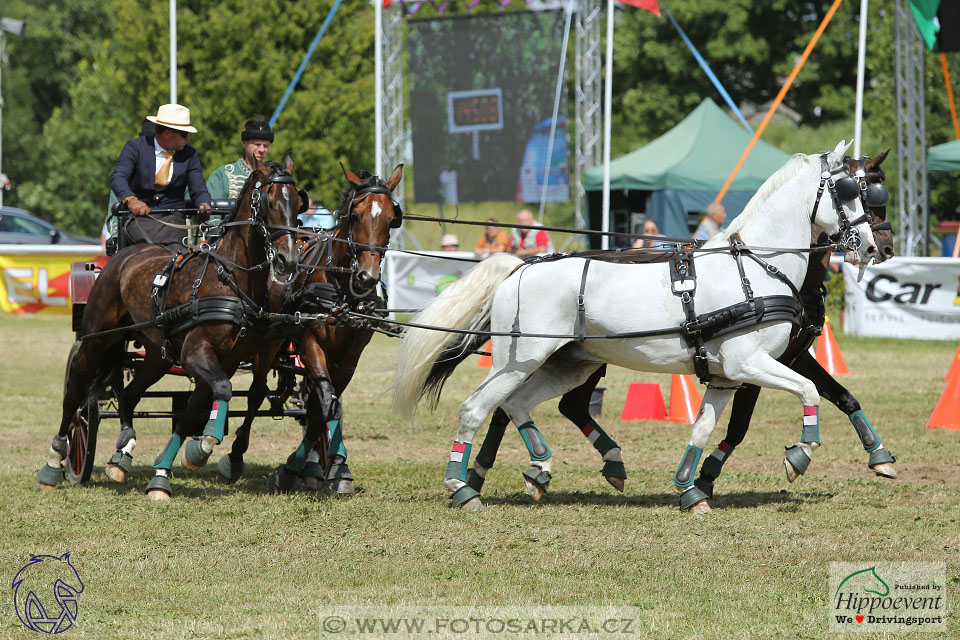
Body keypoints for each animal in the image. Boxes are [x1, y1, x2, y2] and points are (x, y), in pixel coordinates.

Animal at [39, 158, 302, 498]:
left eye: (298, 201)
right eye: (269, 202)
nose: (288, 259)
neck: (228, 278)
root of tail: (123, 255)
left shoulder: (227, 360)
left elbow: (194, 410)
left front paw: (170, 469)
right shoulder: (195, 353)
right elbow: (222, 391)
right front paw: (202, 447)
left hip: (157, 355)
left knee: (129, 396)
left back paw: (122, 454)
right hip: (95, 339)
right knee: (75, 394)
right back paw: (54, 462)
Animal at [217, 164, 402, 496]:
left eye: (392, 218)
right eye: (355, 215)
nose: (367, 277)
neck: (340, 289)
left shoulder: (349, 360)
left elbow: (324, 408)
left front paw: (315, 467)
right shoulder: (311, 343)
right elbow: (325, 405)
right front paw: (292, 469)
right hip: (268, 343)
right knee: (255, 393)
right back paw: (235, 455)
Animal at [394, 142, 880, 512]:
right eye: (847, 189)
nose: (873, 247)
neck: (756, 267)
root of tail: (520, 267)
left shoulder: (726, 377)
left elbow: (703, 429)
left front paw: (690, 490)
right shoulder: (750, 364)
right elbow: (809, 390)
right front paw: (799, 455)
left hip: (568, 364)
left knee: (517, 405)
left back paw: (542, 468)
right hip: (520, 359)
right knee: (476, 409)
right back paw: (462, 488)